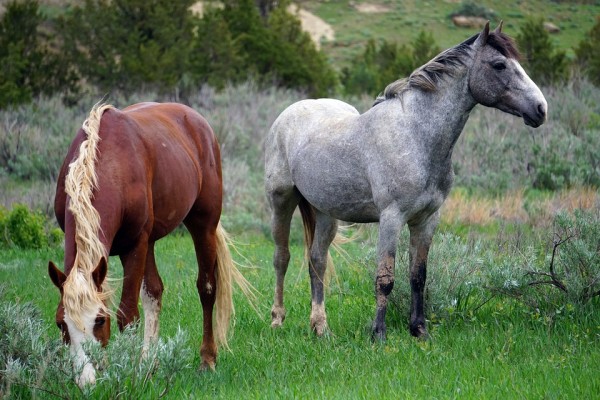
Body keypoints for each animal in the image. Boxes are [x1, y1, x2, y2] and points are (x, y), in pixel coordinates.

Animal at [45, 101, 245, 386]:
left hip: (203, 224)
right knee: (154, 291)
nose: (87, 381)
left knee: (207, 288)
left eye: (99, 320)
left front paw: (127, 374)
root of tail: (196, 120)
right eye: (61, 324)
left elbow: (127, 314)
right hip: (150, 242)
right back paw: (150, 363)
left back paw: (207, 360)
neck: (109, 164)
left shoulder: (134, 245)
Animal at [264, 22, 548, 340]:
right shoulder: (391, 218)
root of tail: (288, 114)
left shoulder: (426, 220)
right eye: (499, 65)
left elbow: (418, 276)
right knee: (282, 258)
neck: (415, 135)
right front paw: (378, 334)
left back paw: (320, 327)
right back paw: (277, 319)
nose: (541, 109)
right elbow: (385, 278)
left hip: (326, 213)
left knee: (317, 261)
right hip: (281, 202)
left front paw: (419, 330)